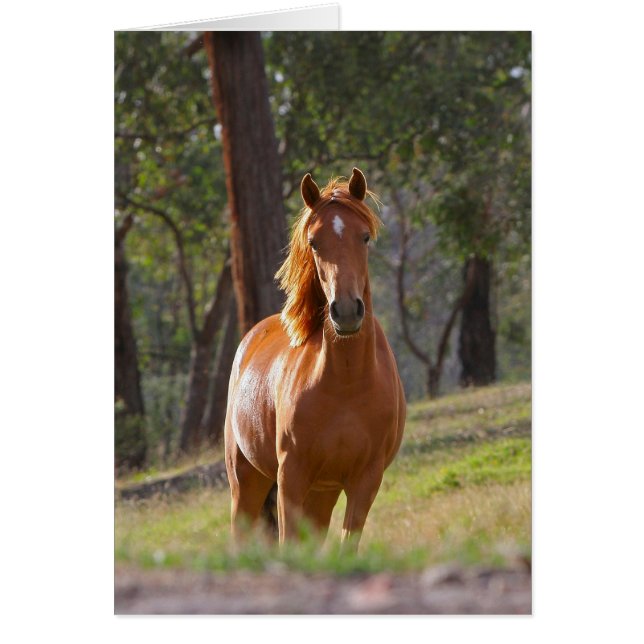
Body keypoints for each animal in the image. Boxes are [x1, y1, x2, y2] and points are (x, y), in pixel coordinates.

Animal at [224, 167, 406, 551]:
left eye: (364, 237)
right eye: (314, 242)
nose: (347, 311)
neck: (347, 383)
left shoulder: (365, 480)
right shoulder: (291, 475)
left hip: (322, 493)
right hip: (247, 483)